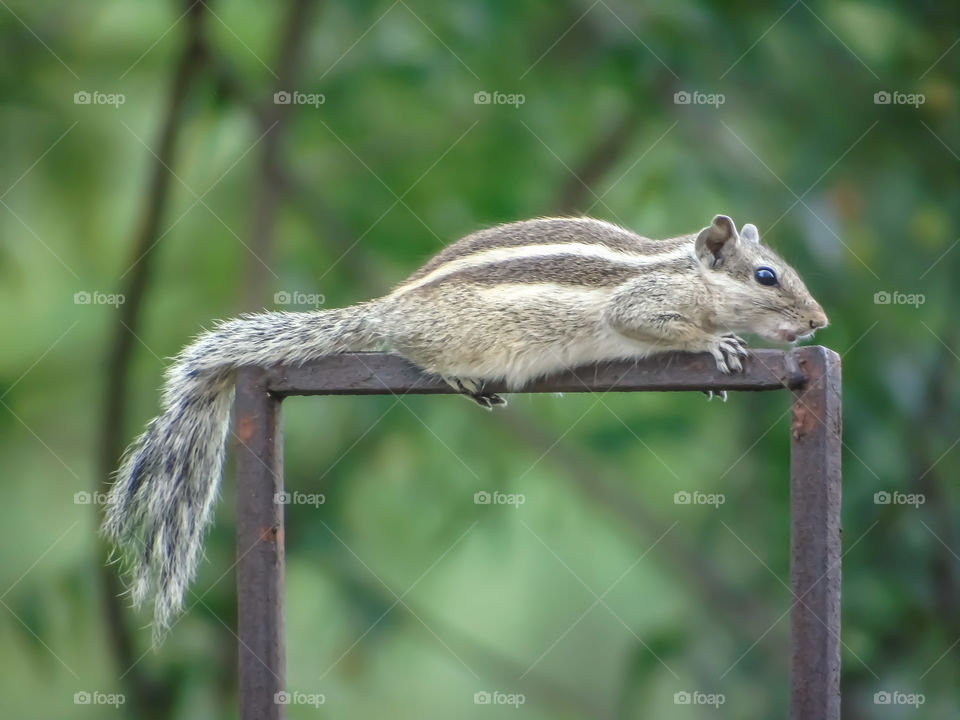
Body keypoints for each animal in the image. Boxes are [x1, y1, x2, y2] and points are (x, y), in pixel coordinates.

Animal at [103, 213, 827, 637]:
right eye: (766, 276)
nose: (819, 321)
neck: (681, 269)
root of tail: (387, 309)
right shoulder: (640, 306)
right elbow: (653, 325)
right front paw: (717, 343)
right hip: (451, 339)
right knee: (414, 355)